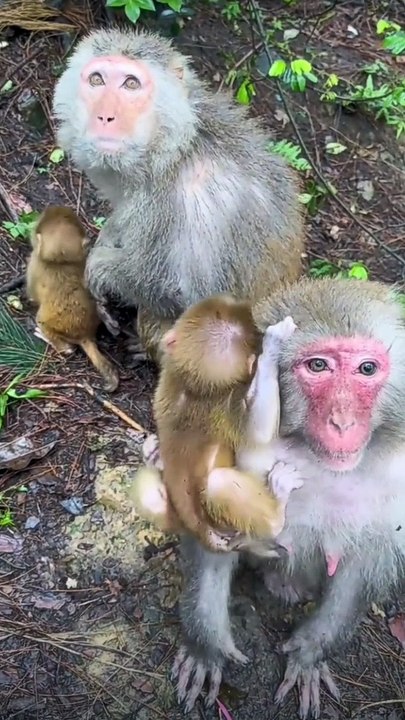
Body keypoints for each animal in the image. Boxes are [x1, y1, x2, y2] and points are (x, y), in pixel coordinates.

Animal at [52, 28, 305, 363]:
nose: (105, 117)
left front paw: (100, 267)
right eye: (97, 79)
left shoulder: (197, 201)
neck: (174, 149)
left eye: (130, 83)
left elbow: (189, 294)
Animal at [128, 296, 302, 554]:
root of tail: (200, 533)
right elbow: (258, 431)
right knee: (219, 484)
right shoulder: (224, 405)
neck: (192, 386)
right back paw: (277, 508)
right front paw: (273, 345)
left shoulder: (166, 383)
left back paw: (153, 454)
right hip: (227, 527)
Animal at [166, 277, 405, 718]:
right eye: (318, 366)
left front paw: (311, 651)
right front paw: (207, 645)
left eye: (367, 369)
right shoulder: (231, 431)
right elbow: (211, 531)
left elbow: (364, 565)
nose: (342, 422)